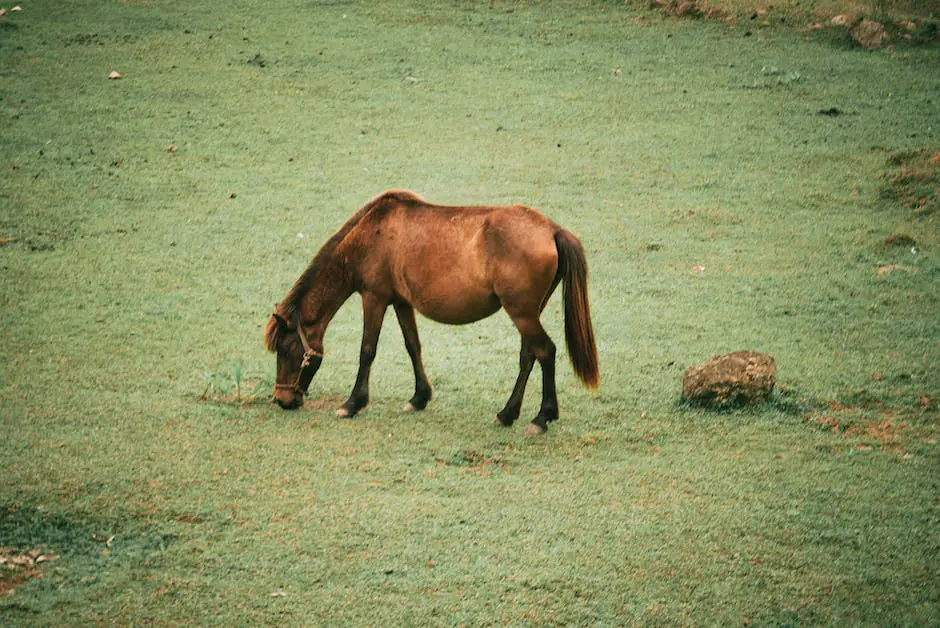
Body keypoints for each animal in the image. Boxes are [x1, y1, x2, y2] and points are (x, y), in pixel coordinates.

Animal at [264, 189, 600, 434]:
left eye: (287, 349)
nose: (282, 400)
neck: (368, 235)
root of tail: (552, 229)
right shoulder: (400, 302)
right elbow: (413, 346)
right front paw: (419, 397)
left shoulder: (374, 298)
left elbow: (367, 351)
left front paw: (352, 403)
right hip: (528, 313)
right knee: (529, 356)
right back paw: (507, 413)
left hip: (522, 314)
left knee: (546, 352)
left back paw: (542, 418)